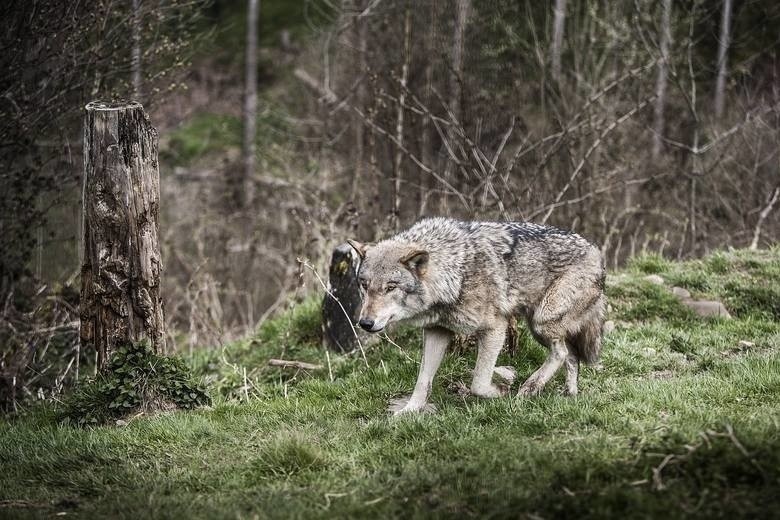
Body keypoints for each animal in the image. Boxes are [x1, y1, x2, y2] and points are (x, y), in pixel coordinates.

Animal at [348, 217, 608, 416]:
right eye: (364, 285)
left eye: (390, 287)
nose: (365, 323)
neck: (456, 273)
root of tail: (597, 252)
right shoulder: (436, 331)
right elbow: (423, 381)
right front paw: (409, 412)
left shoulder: (496, 329)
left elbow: (478, 383)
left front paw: (500, 392)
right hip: (539, 326)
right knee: (571, 355)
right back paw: (568, 394)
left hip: (542, 322)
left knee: (562, 353)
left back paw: (528, 389)